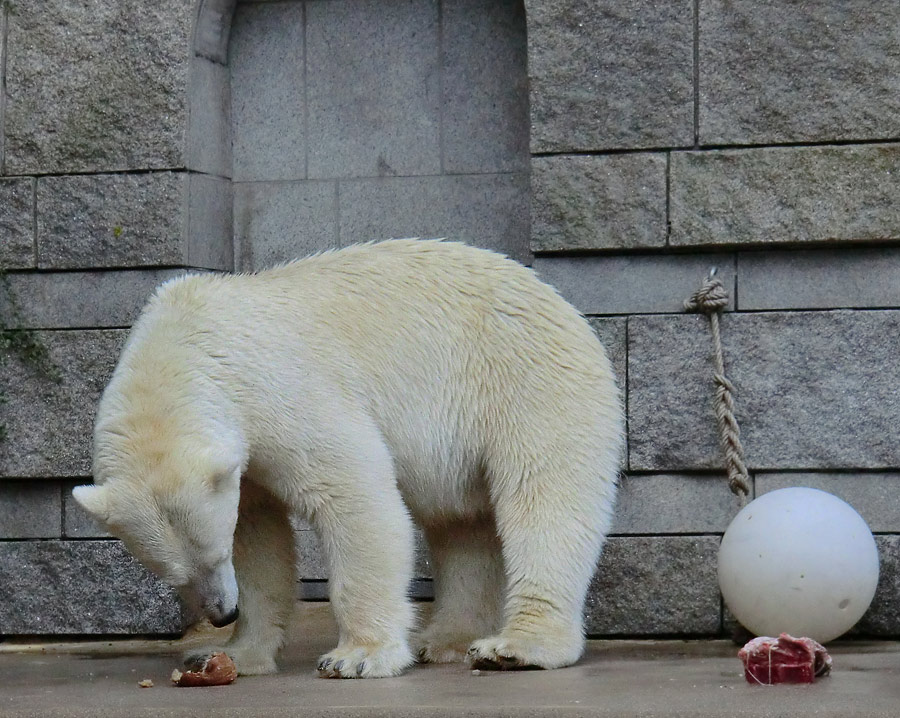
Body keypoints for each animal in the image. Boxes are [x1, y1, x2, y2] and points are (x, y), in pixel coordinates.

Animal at [74, 240, 624, 680]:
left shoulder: (283, 393)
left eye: (212, 556)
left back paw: (516, 646)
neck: (191, 343)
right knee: (460, 525)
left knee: (544, 503)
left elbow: (353, 497)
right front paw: (232, 654)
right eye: (174, 575)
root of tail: (563, 305)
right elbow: (260, 535)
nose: (221, 614)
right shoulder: (243, 456)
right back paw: (444, 640)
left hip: (527, 381)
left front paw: (356, 657)